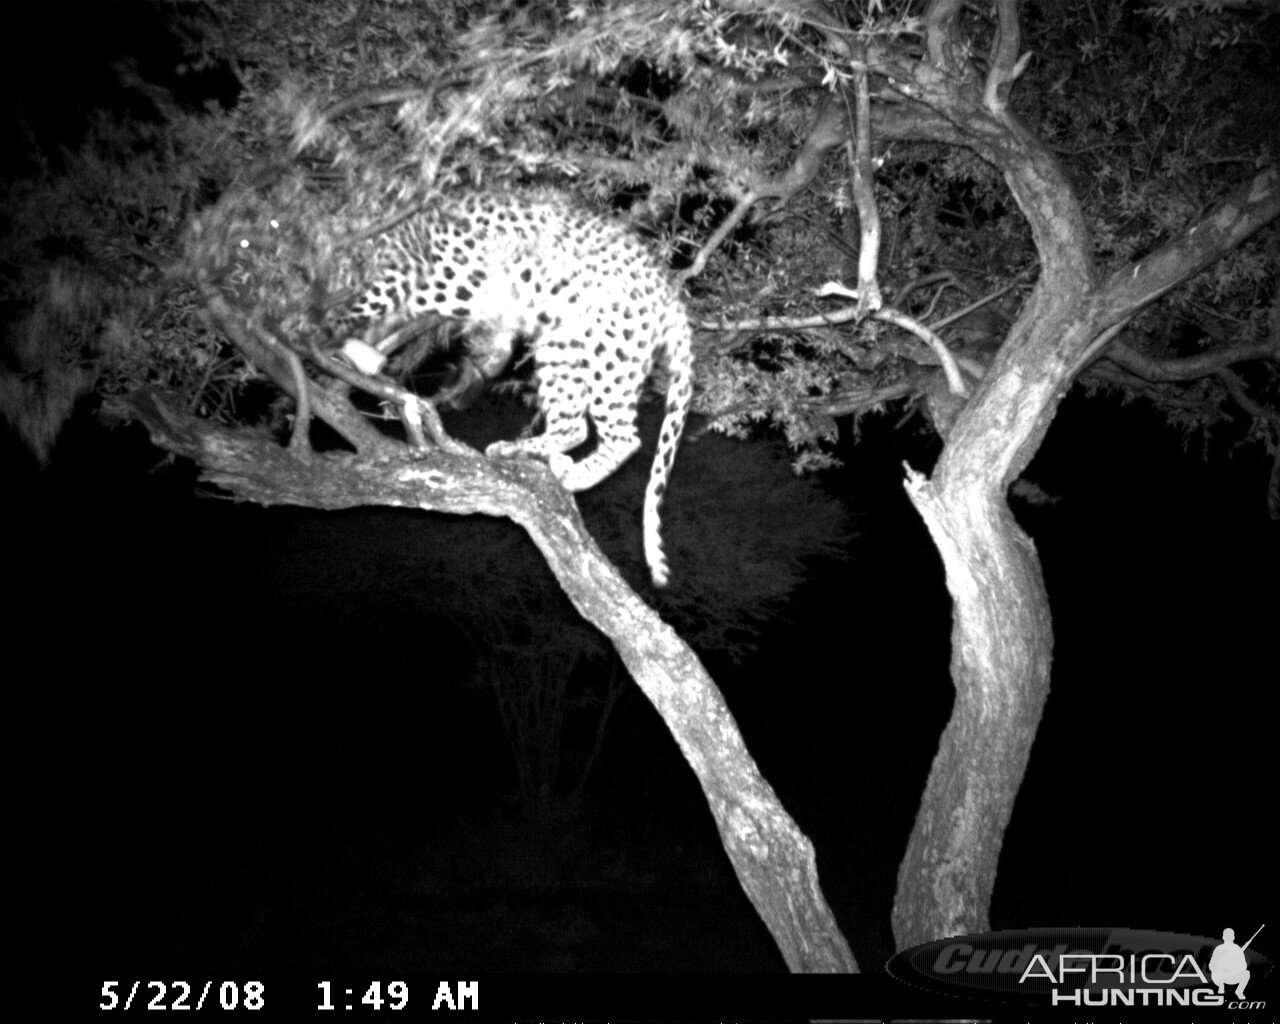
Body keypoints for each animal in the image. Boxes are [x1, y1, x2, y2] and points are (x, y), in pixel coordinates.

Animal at [330, 190, 691, 583]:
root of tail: (671, 295)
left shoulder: (440, 277)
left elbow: (365, 306)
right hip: (565, 343)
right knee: (579, 426)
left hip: (608, 353)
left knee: (620, 437)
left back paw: (539, 460)